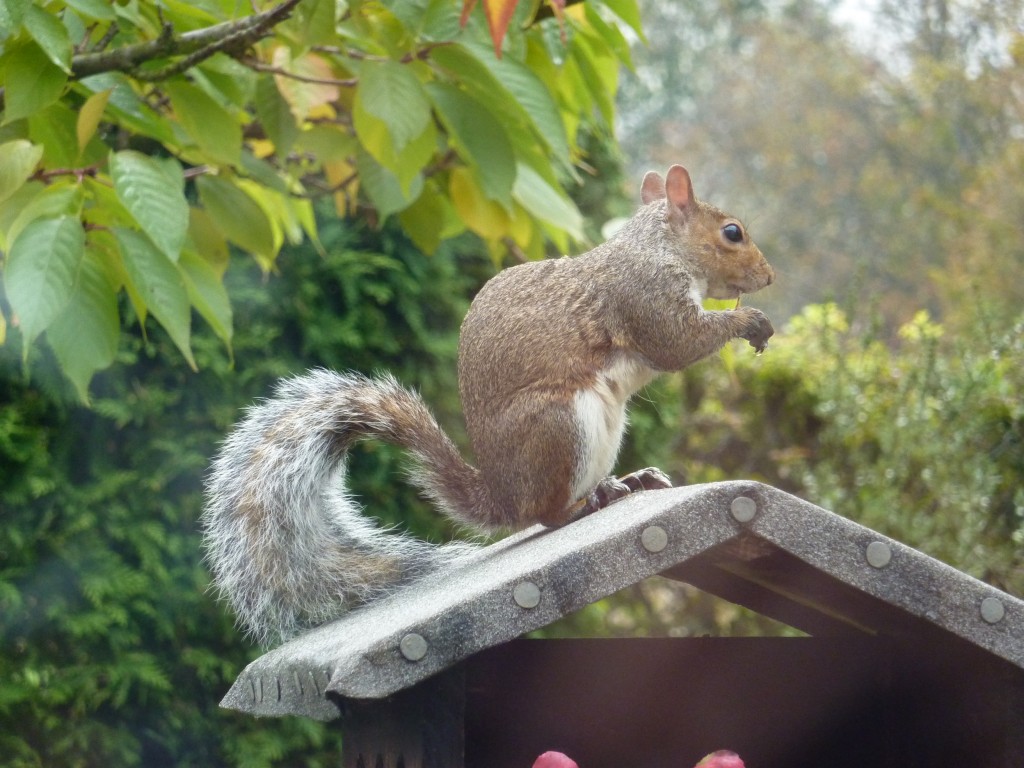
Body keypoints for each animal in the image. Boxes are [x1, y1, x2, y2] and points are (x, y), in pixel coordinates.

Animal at [201, 165, 774, 647]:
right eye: (732, 233)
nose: (768, 278)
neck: (658, 246)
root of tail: (502, 493)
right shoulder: (644, 297)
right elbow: (677, 343)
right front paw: (747, 322)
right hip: (561, 425)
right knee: (544, 515)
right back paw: (583, 504)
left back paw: (622, 483)